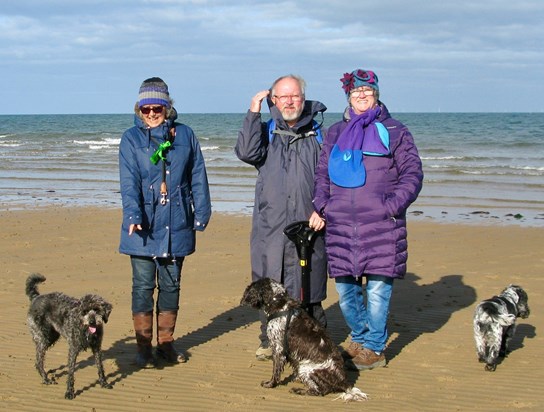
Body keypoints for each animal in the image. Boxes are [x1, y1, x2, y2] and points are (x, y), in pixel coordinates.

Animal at [240, 278, 368, 400]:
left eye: (251, 288)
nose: (243, 299)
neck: (279, 303)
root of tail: (345, 384)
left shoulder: (278, 348)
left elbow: (275, 371)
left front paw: (270, 384)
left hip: (305, 368)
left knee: (320, 391)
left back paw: (298, 390)